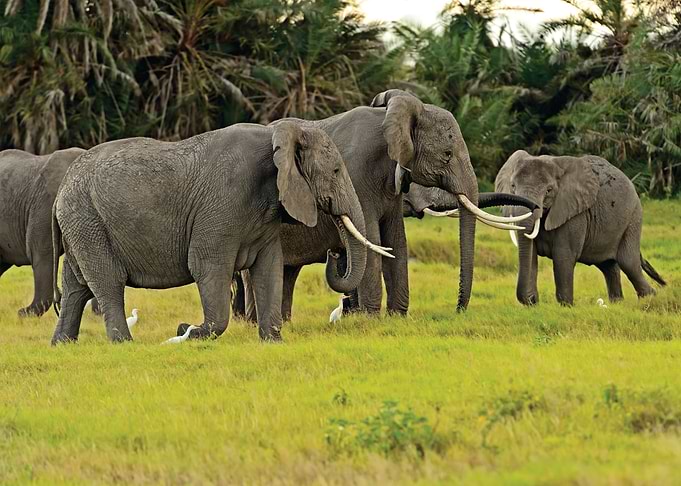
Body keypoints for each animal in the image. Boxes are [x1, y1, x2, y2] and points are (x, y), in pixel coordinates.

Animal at [50, 121, 387, 344]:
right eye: (336, 172)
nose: (334, 254)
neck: (276, 133)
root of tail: (61, 188)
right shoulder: (223, 202)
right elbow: (208, 265)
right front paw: (188, 333)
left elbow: (269, 268)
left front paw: (273, 342)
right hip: (87, 221)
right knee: (108, 283)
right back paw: (125, 344)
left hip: (80, 223)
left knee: (76, 286)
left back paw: (62, 344)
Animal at [495, 150, 666, 306]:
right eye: (512, 186)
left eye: (549, 190)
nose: (533, 299)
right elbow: (531, 253)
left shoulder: (575, 213)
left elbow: (563, 255)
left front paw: (566, 306)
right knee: (609, 266)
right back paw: (617, 303)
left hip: (633, 218)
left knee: (628, 263)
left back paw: (650, 298)